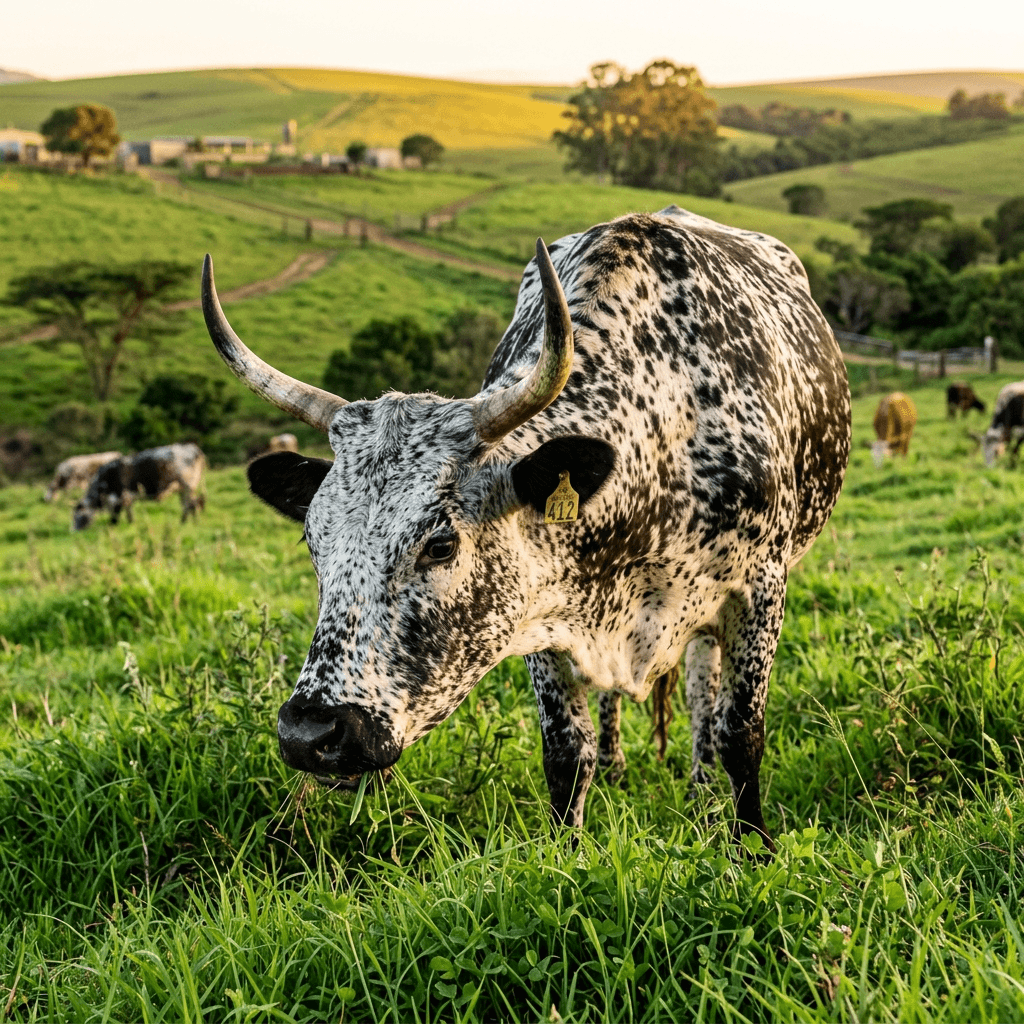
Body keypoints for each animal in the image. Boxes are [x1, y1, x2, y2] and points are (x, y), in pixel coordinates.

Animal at [72, 443, 206, 531]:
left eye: (76, 516)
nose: (73, 531)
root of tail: (191, 446)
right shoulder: (126, 498)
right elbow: (128, 513)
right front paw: (131, 524)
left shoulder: (120, 497)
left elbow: (116, 515)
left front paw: (112, 526)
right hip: (182, 489)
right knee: (187, 505)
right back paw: (183, 523)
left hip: (188, 487)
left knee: (192, 505)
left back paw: (191, 523)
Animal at [201, 205, 851, 848]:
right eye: (314, 542)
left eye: (441, 544)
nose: (310, 734)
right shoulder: (543, 610)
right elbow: (567, 751)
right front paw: (569, 852)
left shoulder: (761, 588)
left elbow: (740, 733)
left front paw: (753, 848)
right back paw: (621, 768)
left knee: (701, 691)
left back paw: (699, 784)